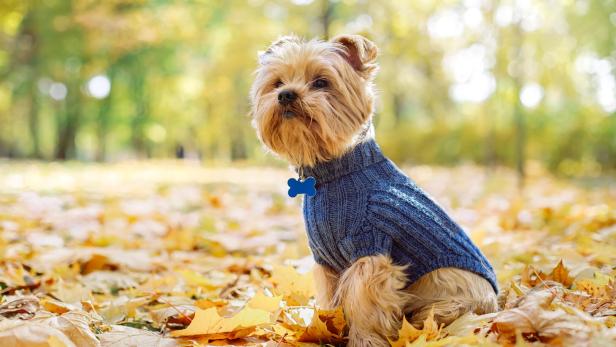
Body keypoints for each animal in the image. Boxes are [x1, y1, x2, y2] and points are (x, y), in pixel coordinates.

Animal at [248, 34, 498, 347]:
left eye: (321, 82)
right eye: (277, 83)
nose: (285, 95)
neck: (336, 169)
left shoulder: (369, 251)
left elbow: (364, 306)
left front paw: (364, 340)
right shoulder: (326, 263)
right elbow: (332, 302)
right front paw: (329, 330)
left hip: (445, 306)